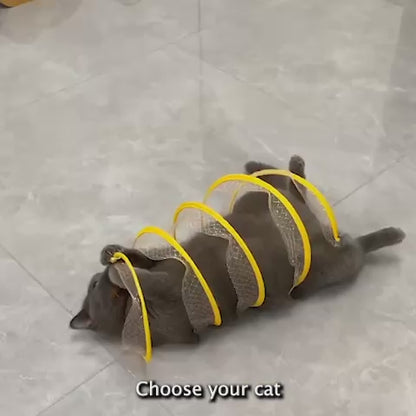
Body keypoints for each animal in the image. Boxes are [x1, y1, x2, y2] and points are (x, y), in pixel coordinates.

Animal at [70, 154, 404, 346]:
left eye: (92, 283)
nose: (98, 276)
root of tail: (318, 230)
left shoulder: (166, 261)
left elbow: (146, 258)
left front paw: (111, 253)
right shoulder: (169, 294)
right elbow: (146, 280)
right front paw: (119, 269)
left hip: (257, 203)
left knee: (289, 186)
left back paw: (270, 165)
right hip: (331, 267)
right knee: (354, 247)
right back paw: (393, 234)